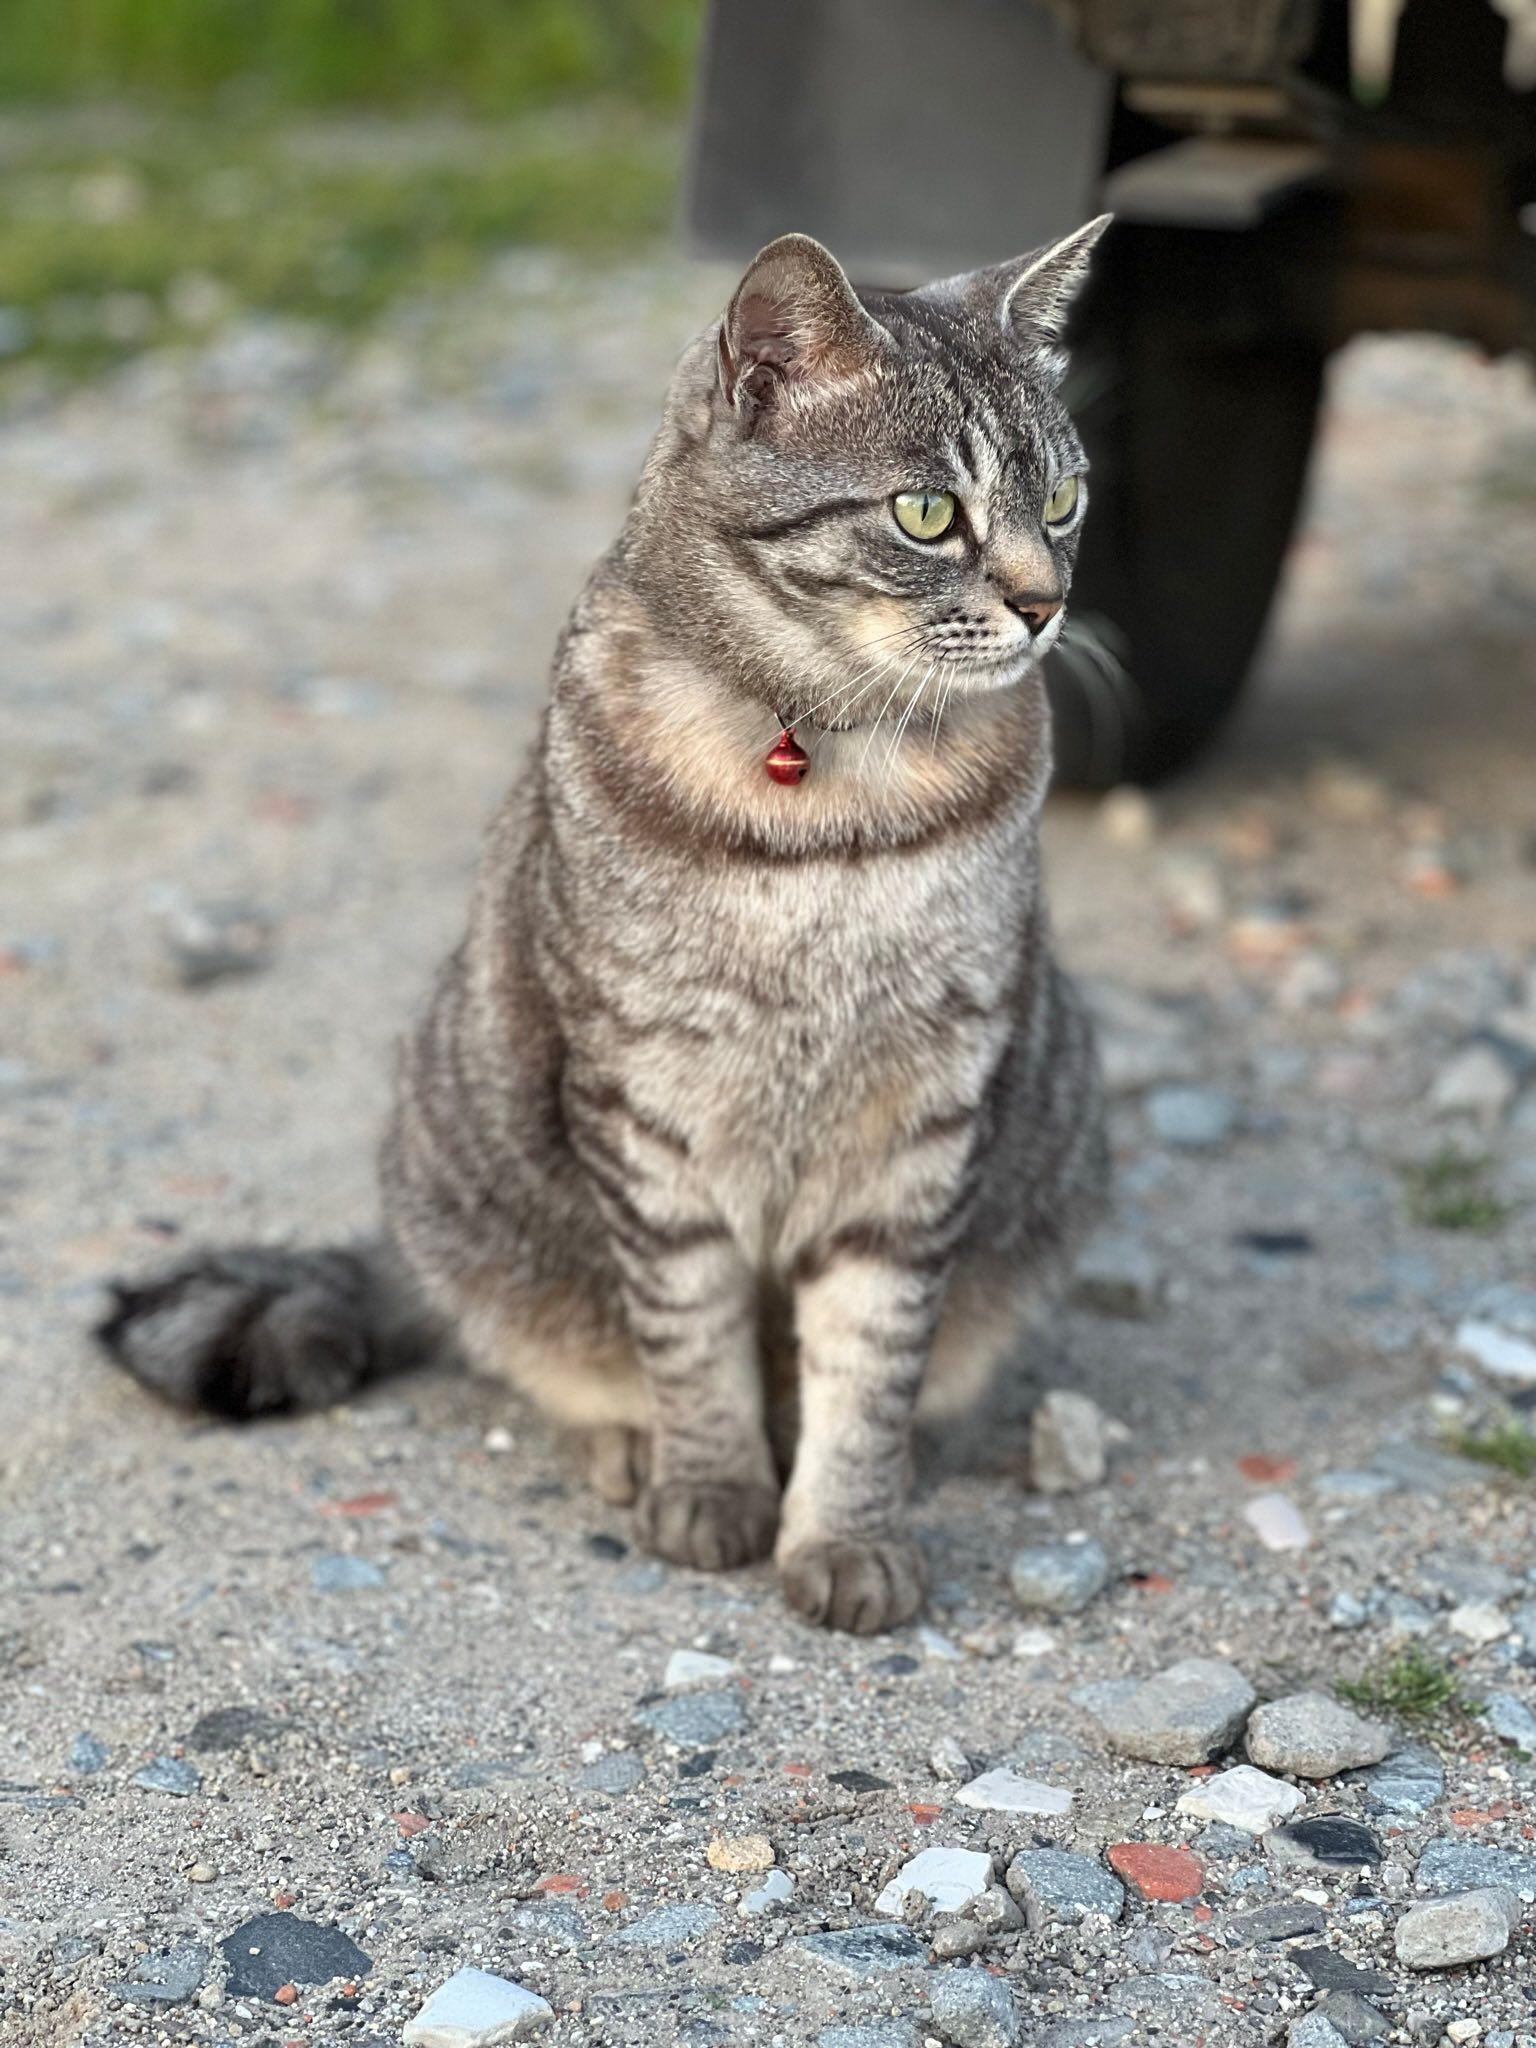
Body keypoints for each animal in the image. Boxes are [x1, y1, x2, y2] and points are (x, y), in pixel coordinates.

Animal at [105, 220, 1122, 1630]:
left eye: (1065, 501)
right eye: (929, 513)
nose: (1043, 603)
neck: (828, 805)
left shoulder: (925, 1112)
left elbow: (869, 1358)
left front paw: (847, 1533)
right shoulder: (646, 1098)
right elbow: (689, 1331)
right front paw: (711, 1488)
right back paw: (628, 1442)